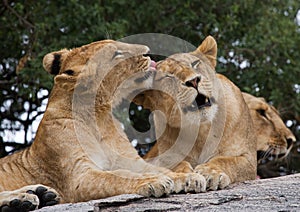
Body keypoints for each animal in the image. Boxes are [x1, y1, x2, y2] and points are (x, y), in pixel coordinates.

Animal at [0, 39, 206, 210]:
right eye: (116, 54)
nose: (148, 53)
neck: (99, 117)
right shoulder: (79, 178)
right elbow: (116, 177)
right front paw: (154, 181)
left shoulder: (131, 161)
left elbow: (160, 169)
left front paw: (188, 178)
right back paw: (22, 200)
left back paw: (42, 194)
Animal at [135, 35, 256, 190]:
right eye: (168, 76)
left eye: (195, 64)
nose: (193, 81)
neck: (201, 130)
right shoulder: (163, 159)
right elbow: (177, 165)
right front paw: (188, 177)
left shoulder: (248, 158)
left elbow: (225, 160)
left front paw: (210, 172)